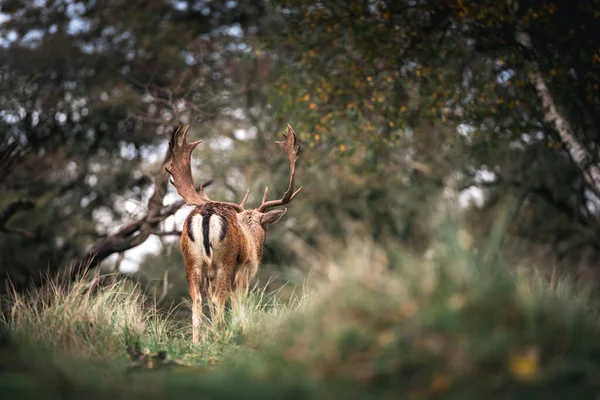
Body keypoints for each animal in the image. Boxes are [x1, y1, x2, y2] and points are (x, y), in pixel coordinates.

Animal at [164, 123, 302, 342]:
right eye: (265, 226)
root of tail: (206, 214)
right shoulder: (245, 269)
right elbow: (239, 302)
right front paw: (242, 331)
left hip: (192, 261)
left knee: (198, 300)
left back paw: (197, 343)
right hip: (225, 261)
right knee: (219, 299)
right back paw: (221, 336)